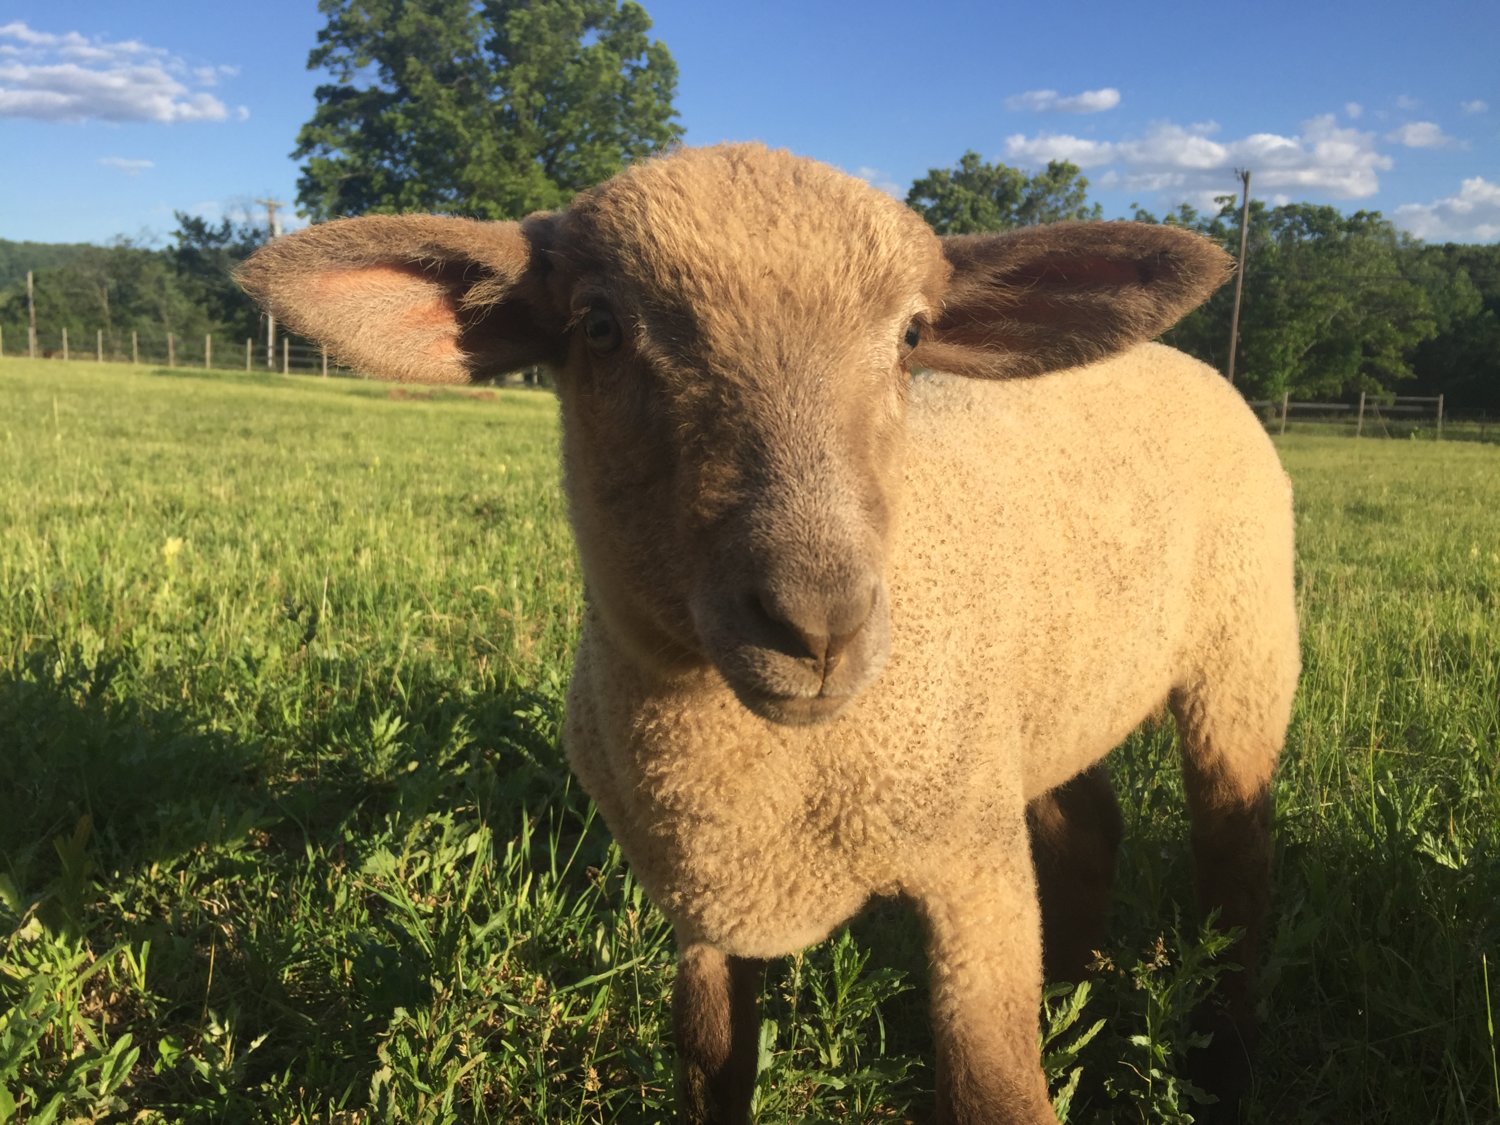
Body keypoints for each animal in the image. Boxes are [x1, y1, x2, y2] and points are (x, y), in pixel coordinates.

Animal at [238, 143, 1299, 1124]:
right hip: (1046, 696)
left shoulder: (971, 874)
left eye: (914, 334)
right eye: (599, 326)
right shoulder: (704, 900)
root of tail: (1184, 357)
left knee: (1237, 858)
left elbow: (993, 1090)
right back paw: (1077, 990)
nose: (818, 621)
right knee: (1088, 827)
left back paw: (1225, 1061)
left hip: (1243, 656)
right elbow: (712, 1067)